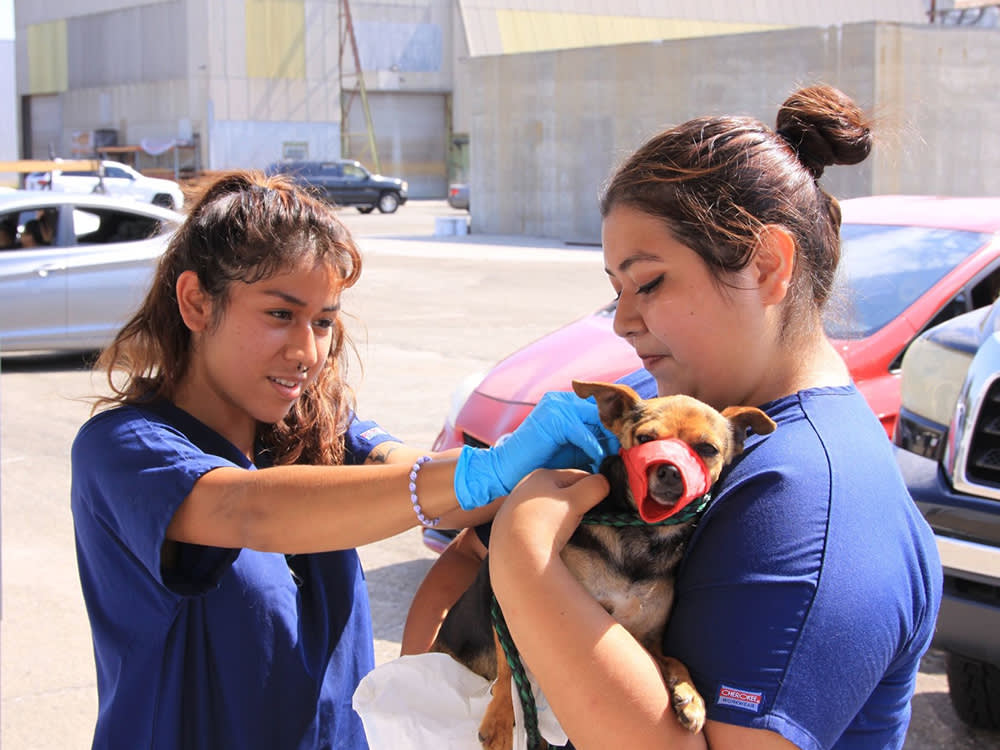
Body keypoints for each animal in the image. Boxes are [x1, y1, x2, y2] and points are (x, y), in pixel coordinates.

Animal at [430, 382, 772, 750]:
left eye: (707, 449)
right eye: (645, 439)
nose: (669, 470)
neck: (645, 533)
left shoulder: (647, 638)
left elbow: (674, 659)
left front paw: (690, 694)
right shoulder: (506, 602)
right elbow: (509, 667)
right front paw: (500, 718)